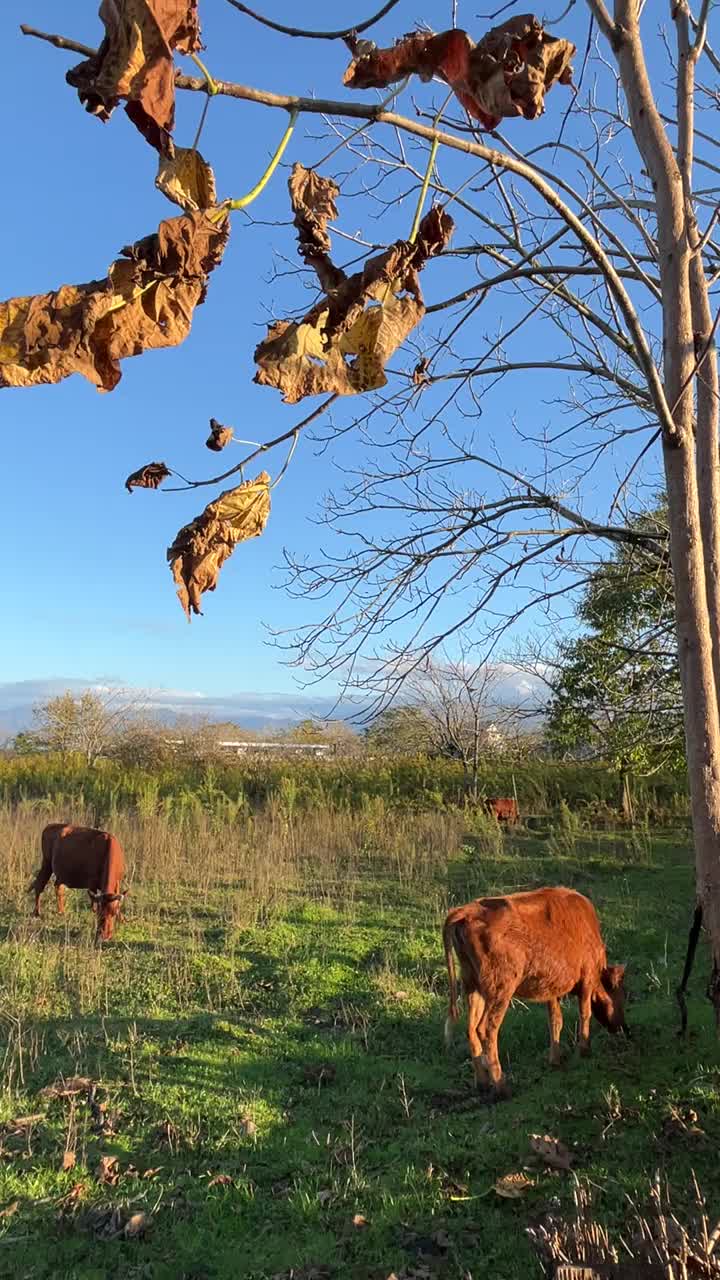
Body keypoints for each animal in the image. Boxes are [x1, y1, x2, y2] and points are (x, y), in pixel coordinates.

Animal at [440, 885, 625, 1095]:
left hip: (472, 987)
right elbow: (585, 1014)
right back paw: (502, 1087)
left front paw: (555, 1060)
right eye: (622, 996)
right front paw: (585, 1051)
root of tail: (465, 911)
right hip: (499, 991)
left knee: (471, 1029)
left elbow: (555, 1020)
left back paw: (482, 1083)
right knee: (486, 1030)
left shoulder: (552, 989)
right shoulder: (587, 978)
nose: (623, 1028)